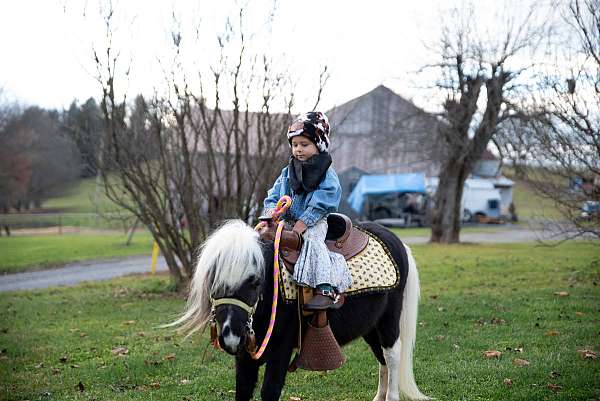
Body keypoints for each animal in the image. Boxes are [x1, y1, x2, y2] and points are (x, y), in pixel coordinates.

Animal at [171, 219, 428, 400]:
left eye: (254, 281)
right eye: (213, 282)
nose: (230, 337)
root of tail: (396, 241)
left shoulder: (281, 348)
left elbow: (270, 390)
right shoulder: (245, 355)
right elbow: (243, 390)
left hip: (389, 321)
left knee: (392, 356)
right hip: (370, 327)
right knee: (381, 357)